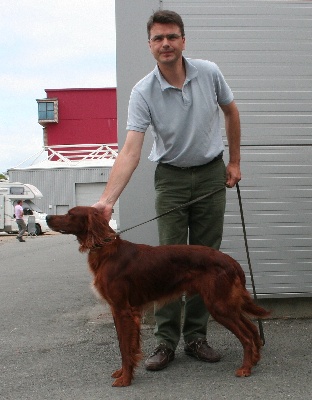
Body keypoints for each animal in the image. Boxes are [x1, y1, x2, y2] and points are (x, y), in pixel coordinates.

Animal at [45, 205, 270, 386]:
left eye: (70, 214)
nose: (47, 217)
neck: (107, 251)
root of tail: (231, 261)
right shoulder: (119, 310)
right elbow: (125, 345)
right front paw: (123, 373)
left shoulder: (123, 310)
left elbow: (125, 347)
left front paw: (125, 379)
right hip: (225, 303)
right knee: (252, 329)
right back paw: (255, 359)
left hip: (218, 305)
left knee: (246, 336)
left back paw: (246, 368)